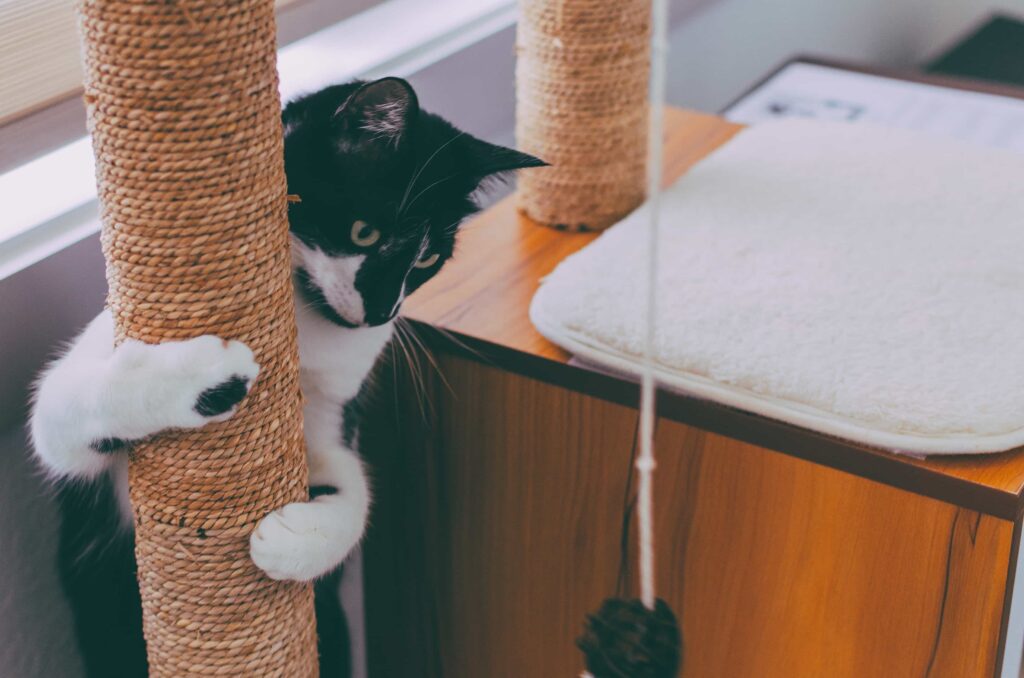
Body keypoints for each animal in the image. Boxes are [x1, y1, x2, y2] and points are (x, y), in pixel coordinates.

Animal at [29, 76, 544, 675]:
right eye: (364, 232)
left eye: (427, 260)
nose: (382, 313)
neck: (309, 325)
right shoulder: (84, 413)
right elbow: (62, 415)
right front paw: (203, 377)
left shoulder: (330, 419)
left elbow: (354, 488)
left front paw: (291, 542)